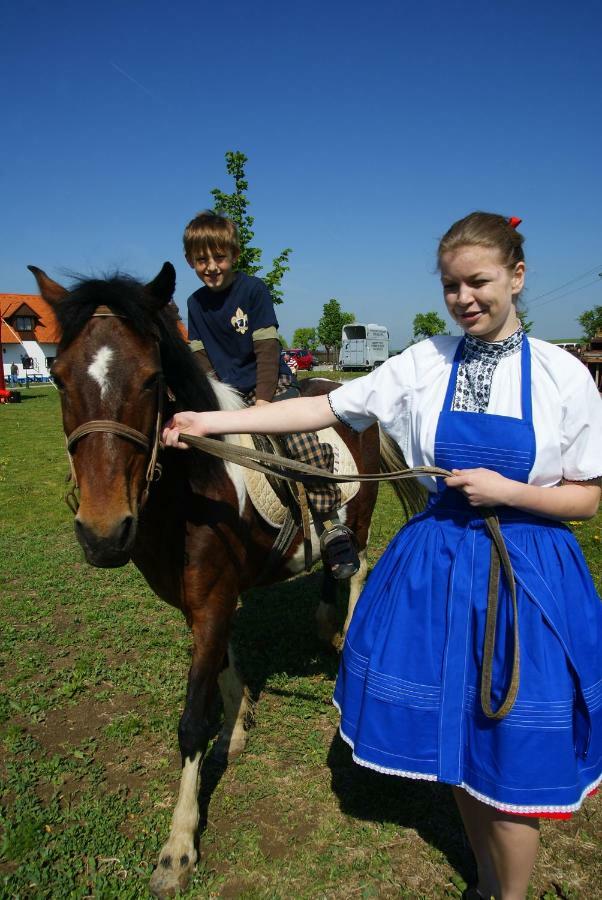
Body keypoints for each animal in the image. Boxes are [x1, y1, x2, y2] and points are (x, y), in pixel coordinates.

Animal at [29, 264, 422, 896]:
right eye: (60, 379)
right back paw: (323, 624)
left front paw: (178, 848)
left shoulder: (212, 599)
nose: (103, 533)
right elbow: (224, 664)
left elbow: (191, 721)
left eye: (151, 380)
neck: (194, 489)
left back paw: (344, 632)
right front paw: (237, 727)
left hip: (359, 517)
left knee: (356, 565)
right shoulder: (204, 600)